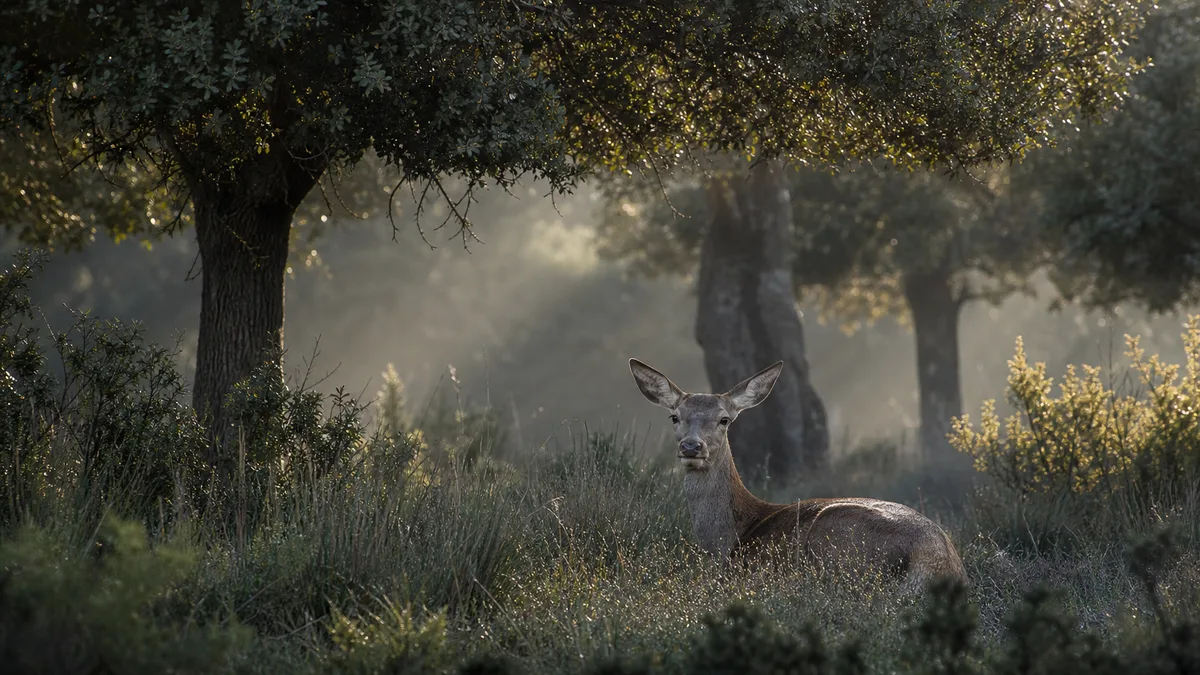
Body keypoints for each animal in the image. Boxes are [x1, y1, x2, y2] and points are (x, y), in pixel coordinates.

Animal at [628, 358, 967, 591]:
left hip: (835, 543)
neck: (727, 540)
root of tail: (935, 559)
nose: (691, 446)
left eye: (724, 419)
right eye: (675, 417)